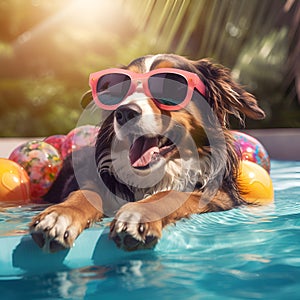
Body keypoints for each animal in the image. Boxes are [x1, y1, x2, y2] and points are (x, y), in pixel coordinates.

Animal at [29, 53, 266, 251]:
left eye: (171, 86)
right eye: (121, 89)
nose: (124, 112)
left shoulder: (220, 195)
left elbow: (171, 194)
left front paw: (138, 213)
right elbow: (82, 195)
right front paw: (59, 216)